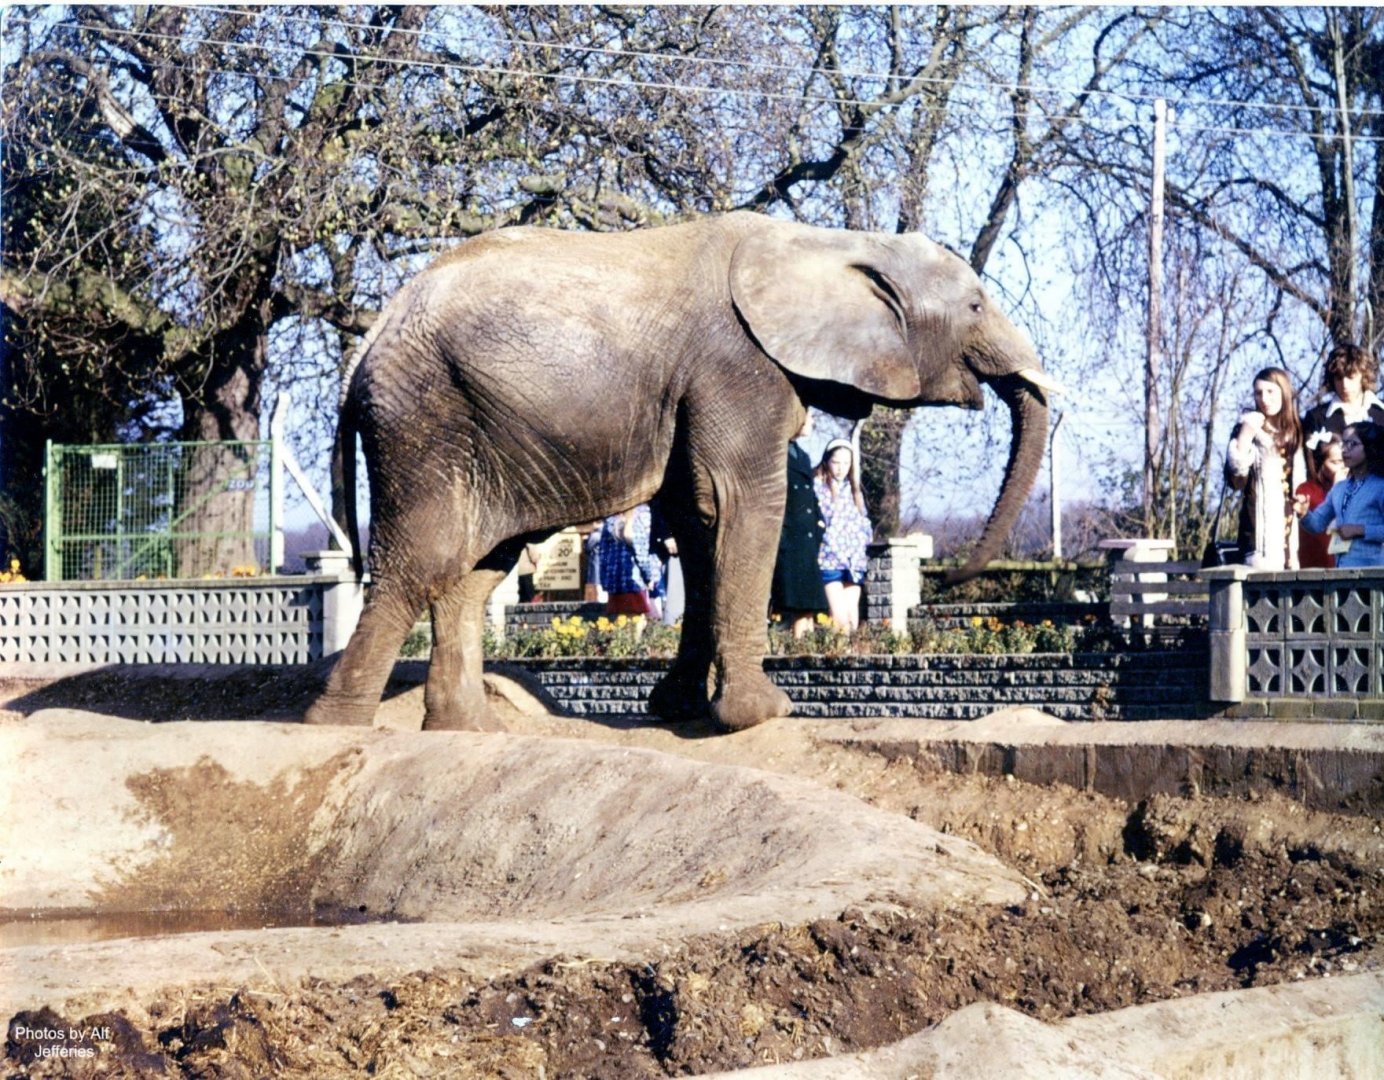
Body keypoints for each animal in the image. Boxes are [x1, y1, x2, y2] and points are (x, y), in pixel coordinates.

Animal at [304, 211, 1054, 733]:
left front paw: (681, 710)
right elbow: (742, 503)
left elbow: (696, 523)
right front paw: (762, 715)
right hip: (425, 416)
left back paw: (470, 730)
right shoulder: (738, 367)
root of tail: (375, 331)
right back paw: (337, 725)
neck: (824, 241)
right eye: (976, 307)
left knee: (477, 570)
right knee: (424, 560)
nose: (951, 576)